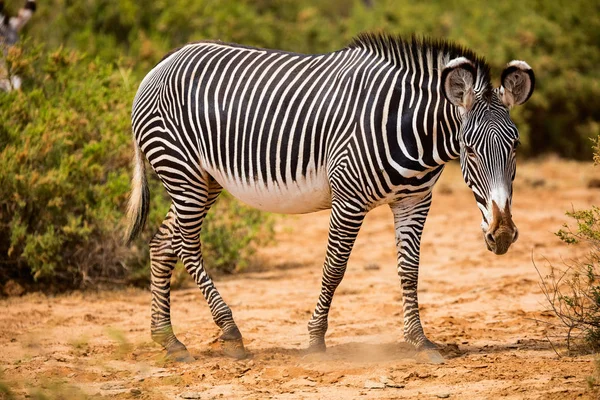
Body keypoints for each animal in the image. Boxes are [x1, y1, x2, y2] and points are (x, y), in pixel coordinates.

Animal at [125, 34, 536, 364]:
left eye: (515, 146)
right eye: (470, 149)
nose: (501, 234)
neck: (411, 132)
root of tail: (160, 65)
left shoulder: (415, 199)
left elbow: (410, 270)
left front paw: (419, 340)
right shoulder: (348, 197)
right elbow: (335, 269)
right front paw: (315, 340)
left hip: (204, 180)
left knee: (162, 244)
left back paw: (169, 341)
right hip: (184, 173)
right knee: (187, 246)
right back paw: (230, 332)